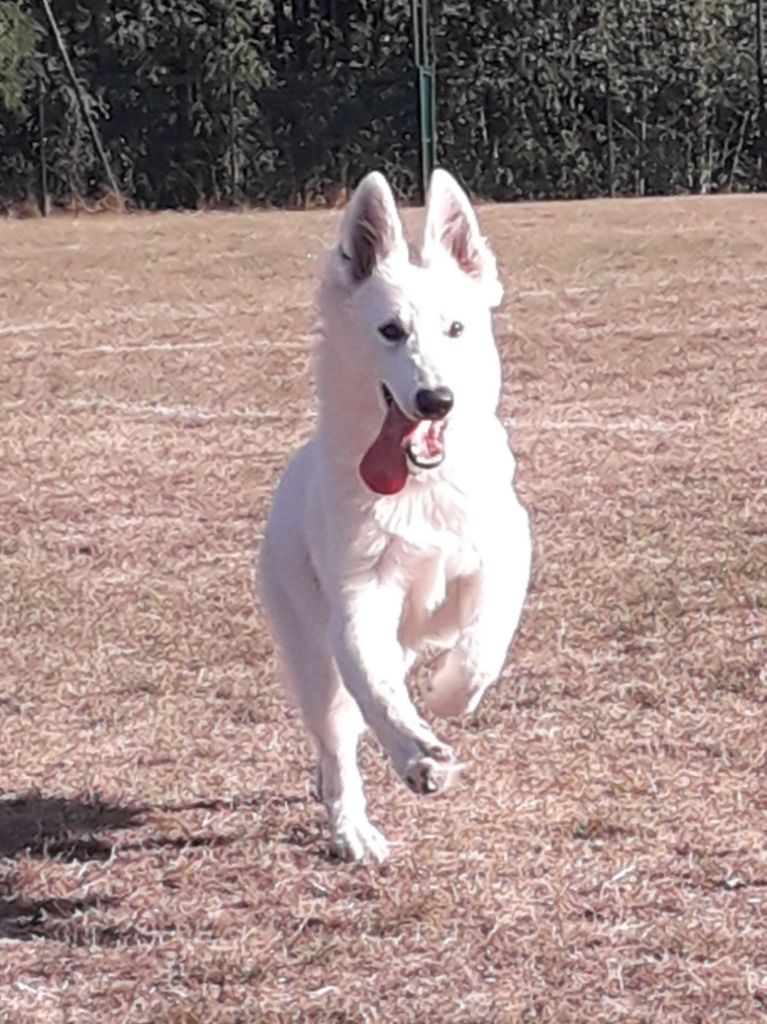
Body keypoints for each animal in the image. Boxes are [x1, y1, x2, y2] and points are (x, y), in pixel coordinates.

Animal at [260, 169, 528, 864]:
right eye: (390, 331)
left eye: (456, 328)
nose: (437, 399)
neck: (421, 485)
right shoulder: (359, 605)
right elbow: (377, 692)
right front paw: (416, 752)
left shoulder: (503, 558)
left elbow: (484, 646)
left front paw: (449, 694)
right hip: (314, 660)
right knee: (339, 745)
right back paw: (351, 826)